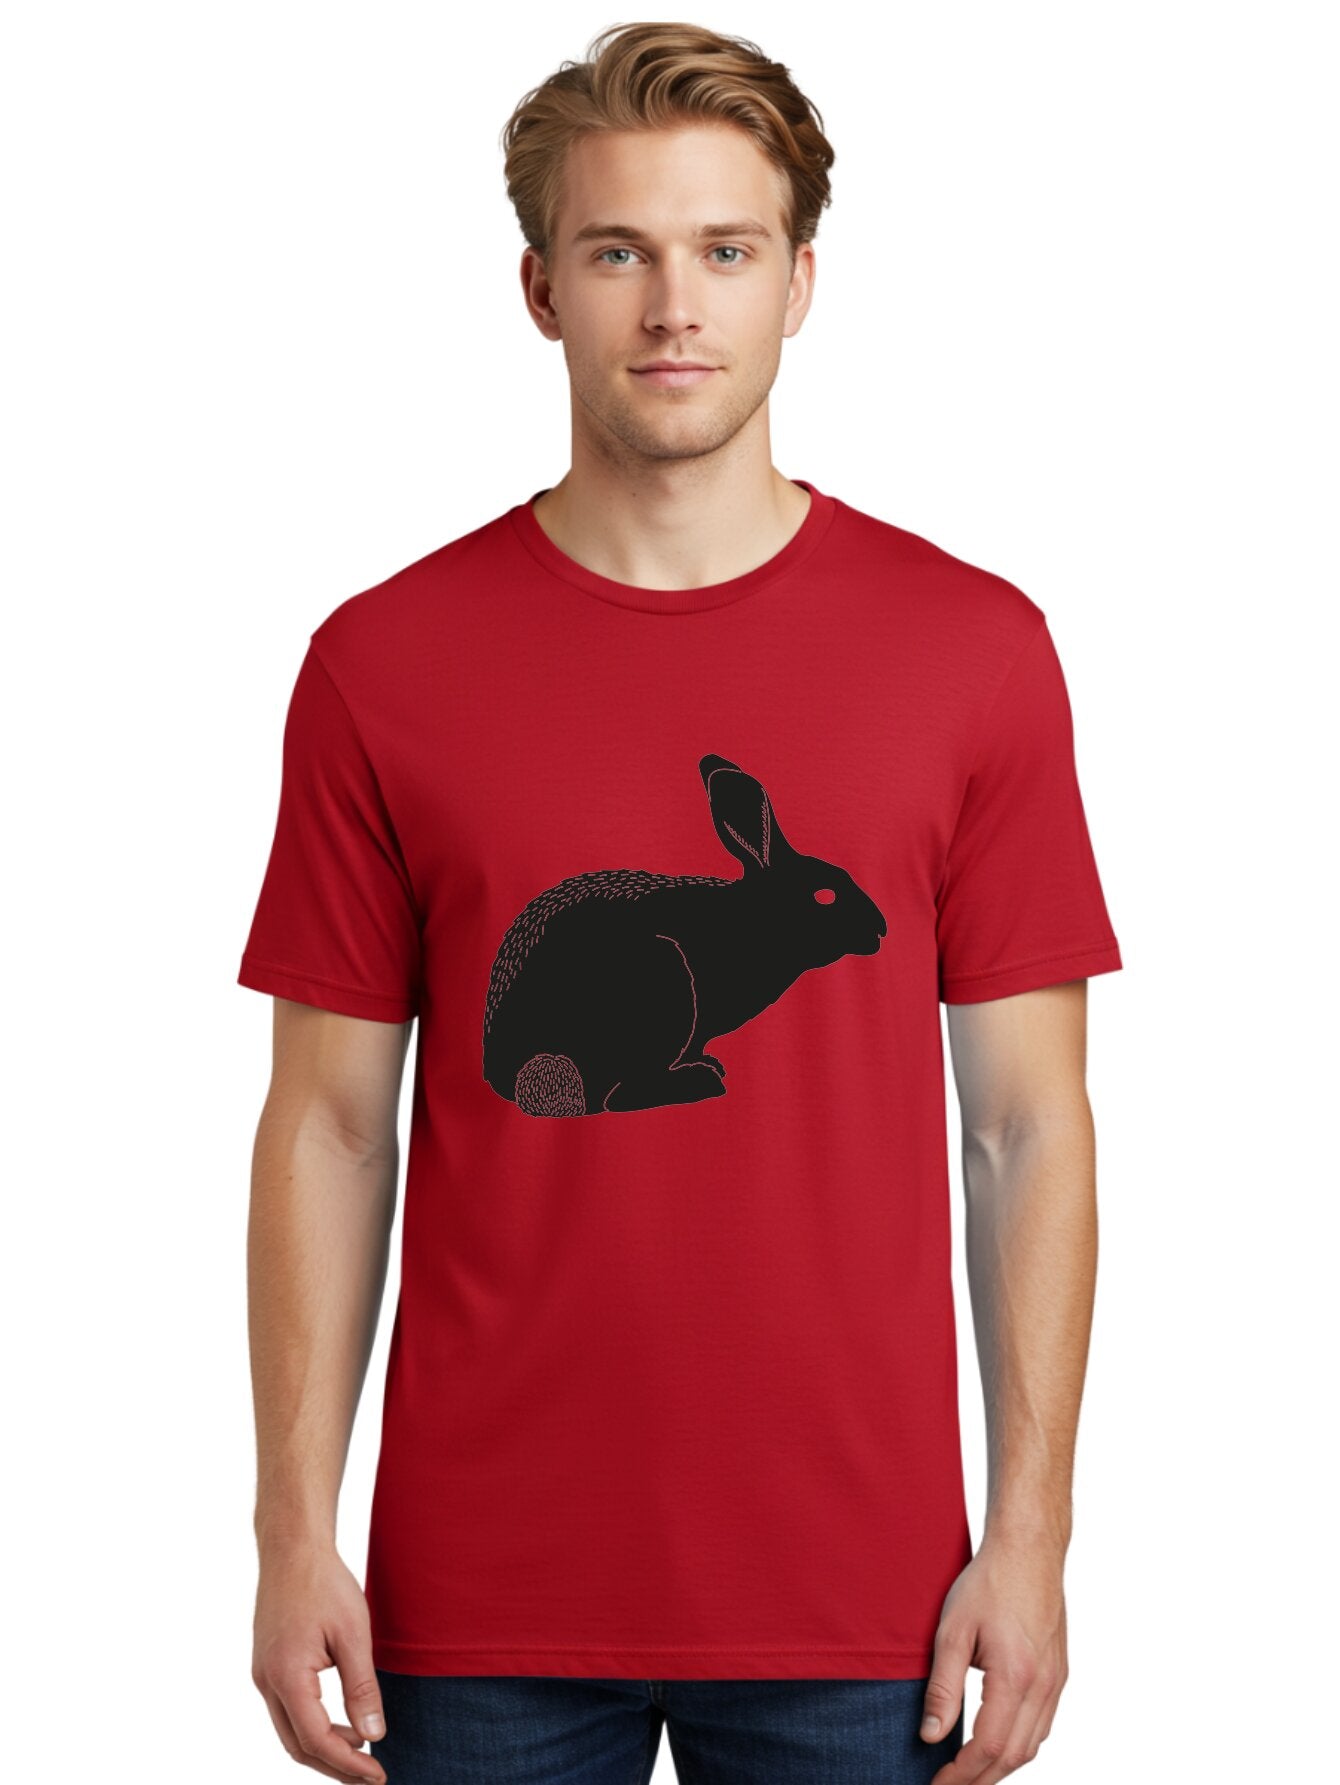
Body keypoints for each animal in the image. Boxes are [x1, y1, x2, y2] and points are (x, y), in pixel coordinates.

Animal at [482, 753, 887, 1116]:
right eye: (825, 895)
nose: (880, 928)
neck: (754, 921)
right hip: (658, 980)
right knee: (617, 1097)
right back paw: (700, 1082)